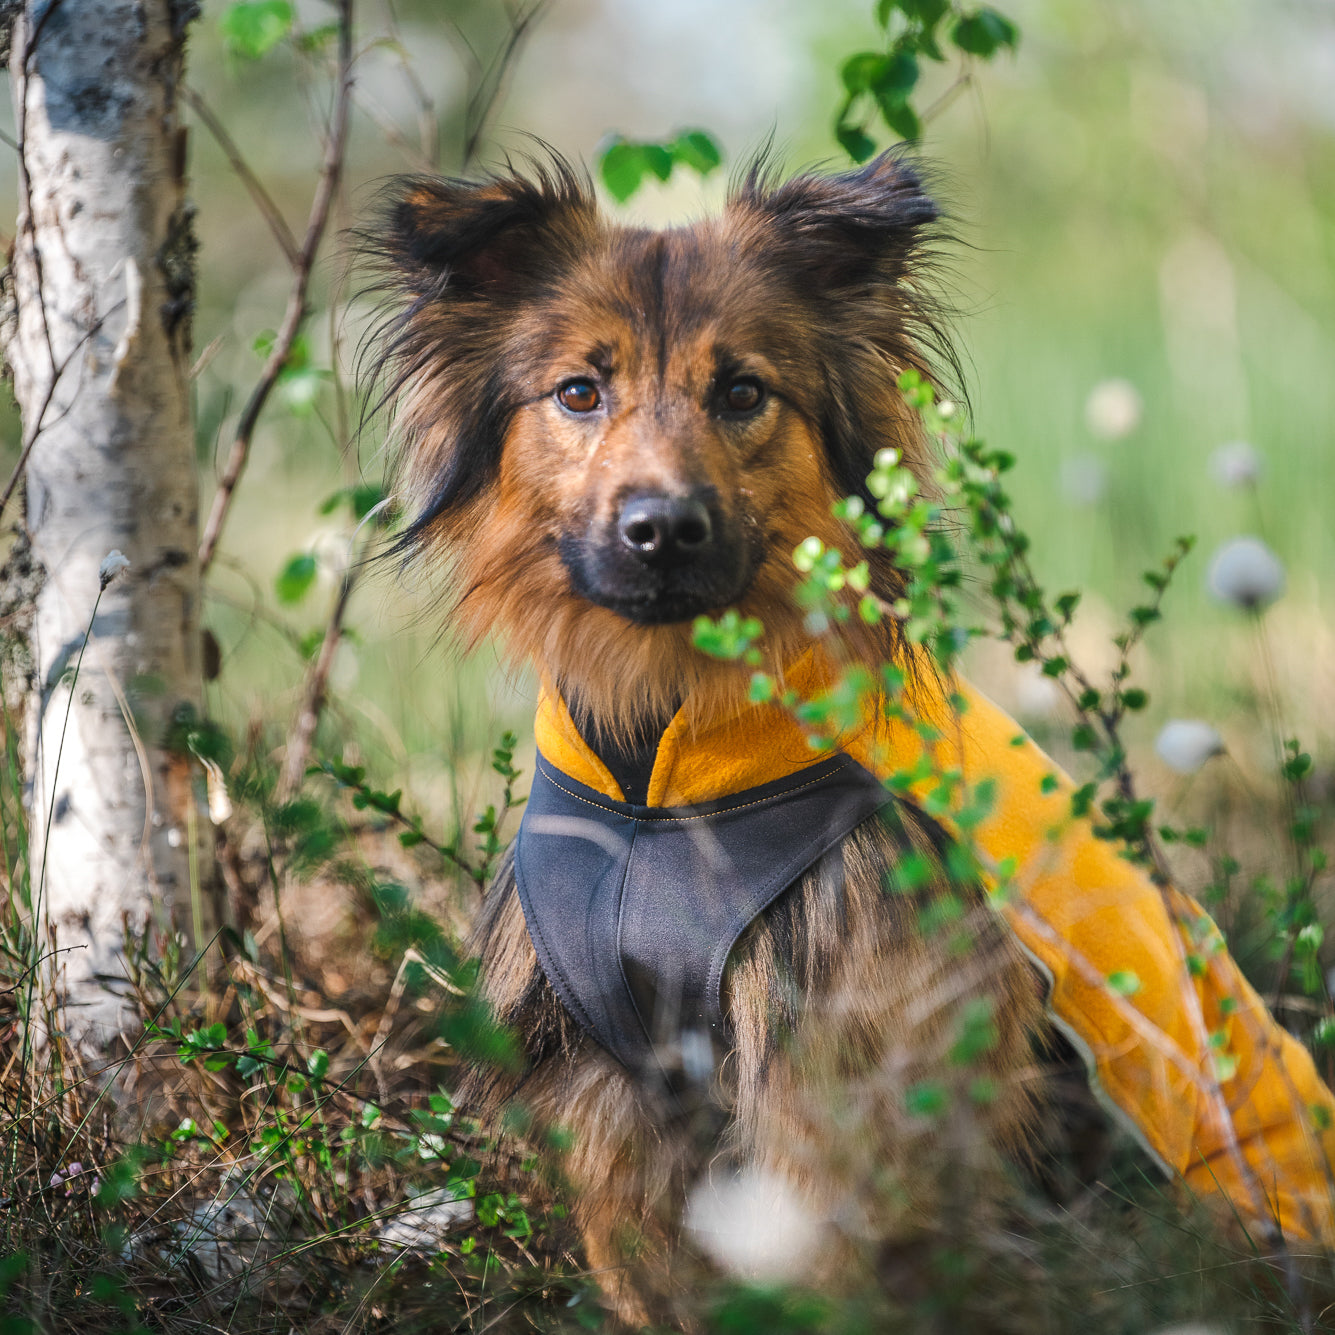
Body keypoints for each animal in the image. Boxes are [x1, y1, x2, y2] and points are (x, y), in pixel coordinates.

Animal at [365, 153, 1335, 1324]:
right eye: (579, 392)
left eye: (743, 392)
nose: (660, 529)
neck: (660, 773)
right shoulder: (617, 1079)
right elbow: (645, 1256)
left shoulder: (842, 1048)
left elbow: (828, 1249)